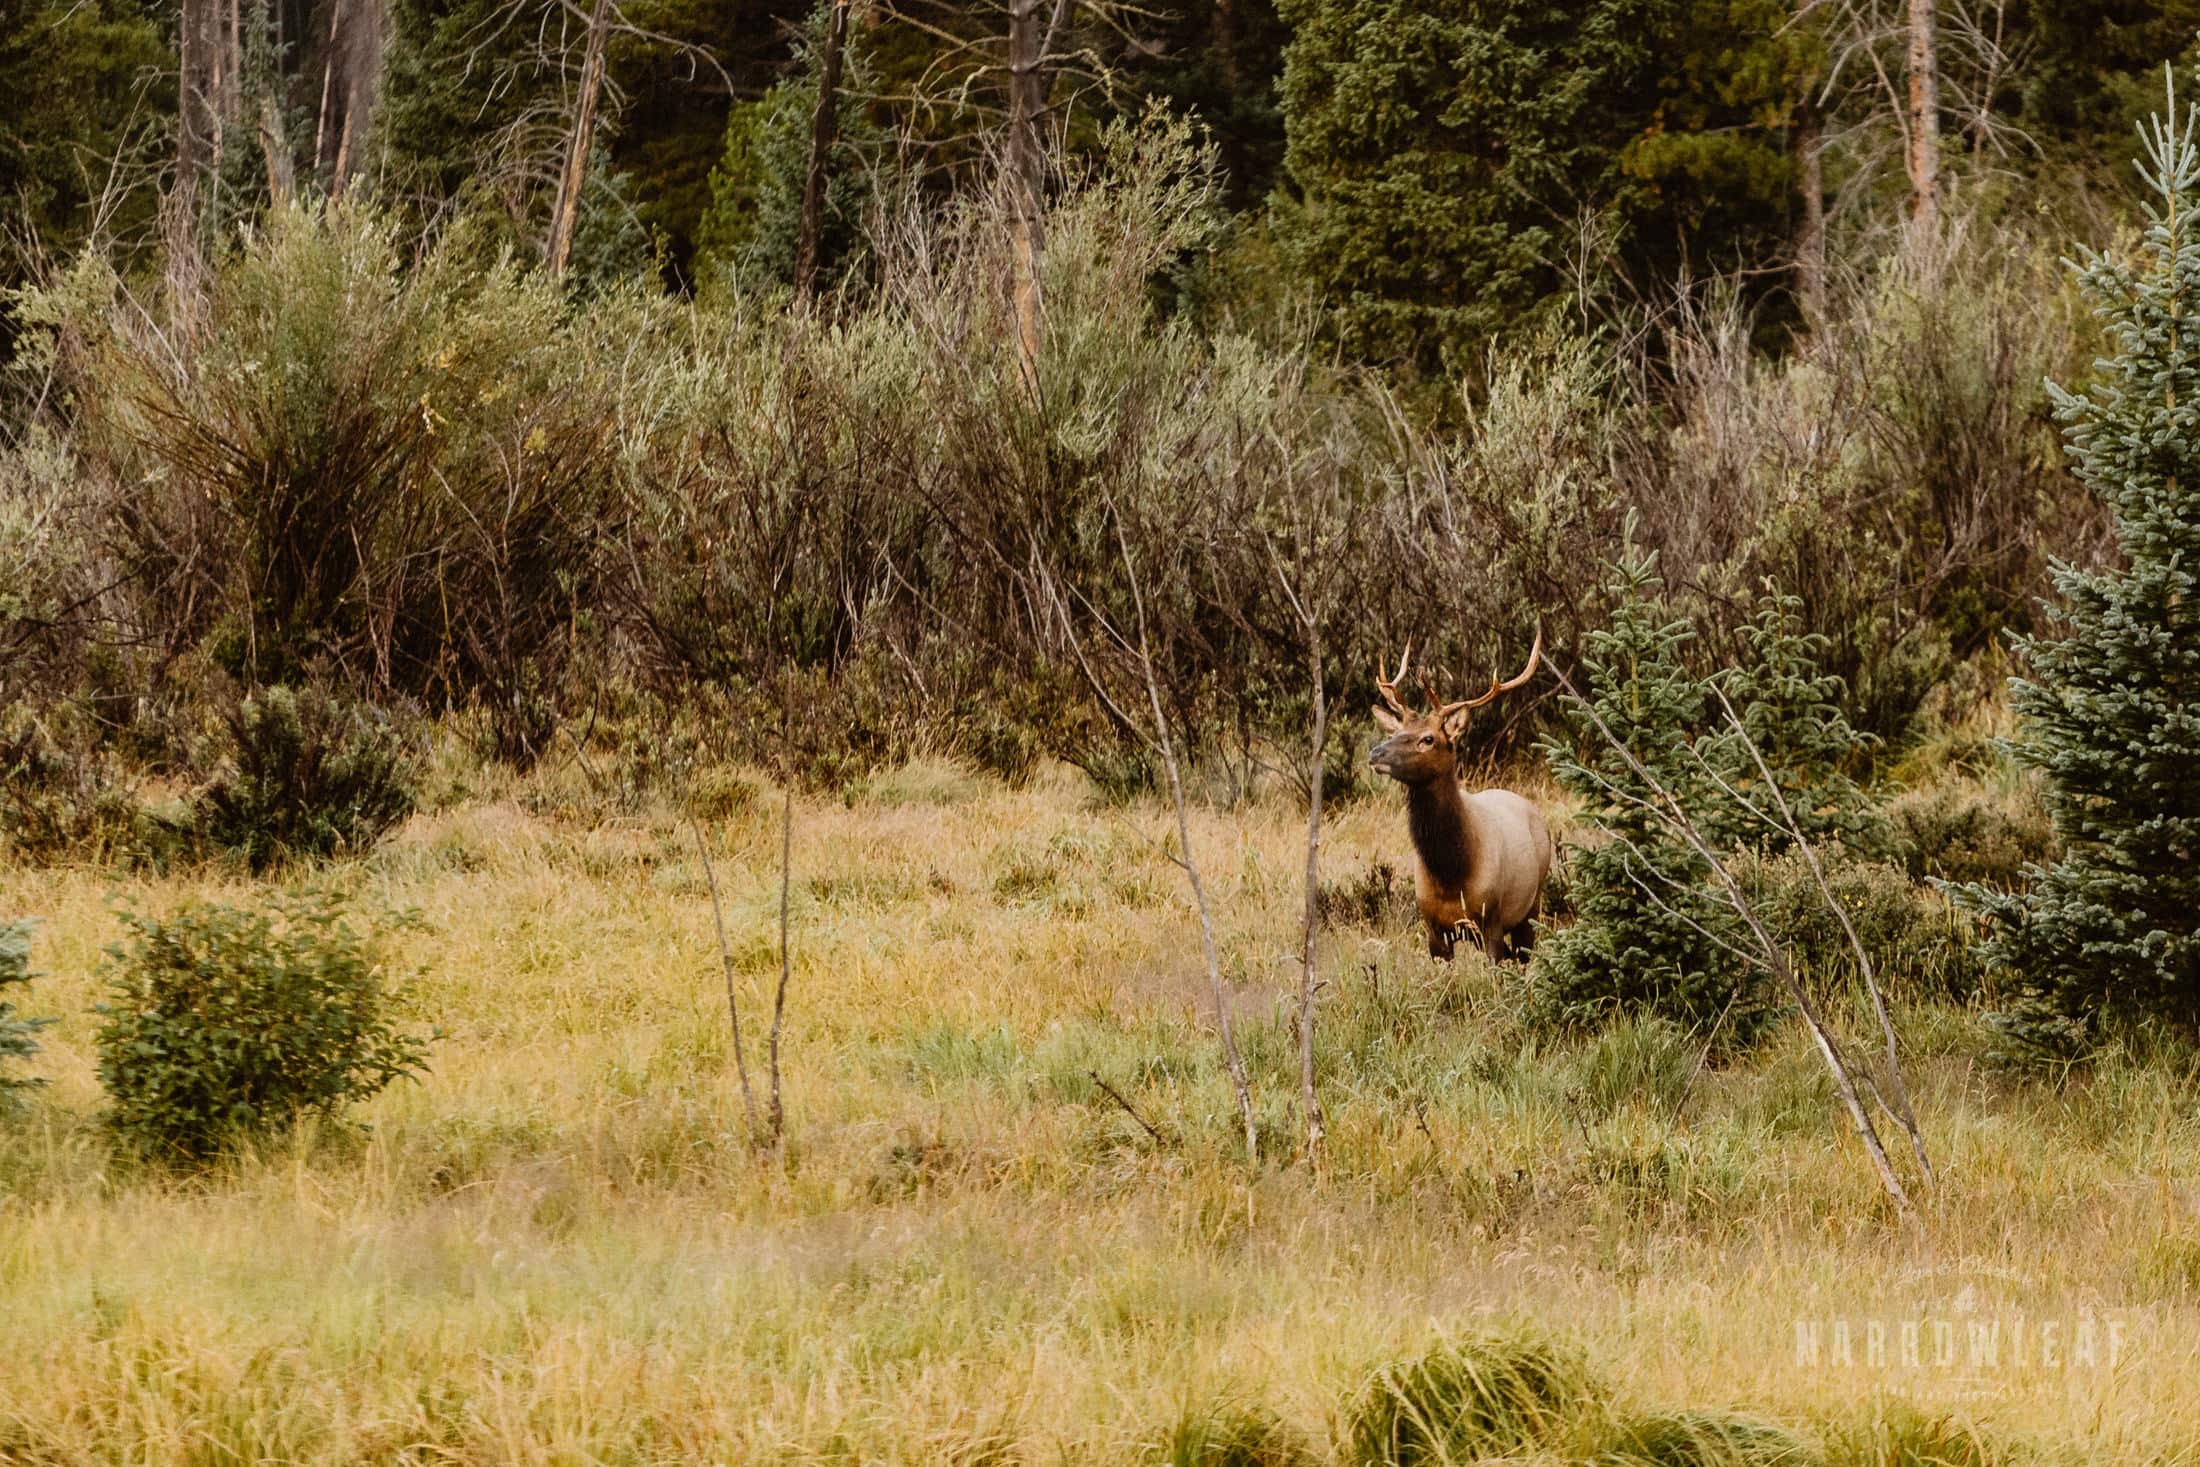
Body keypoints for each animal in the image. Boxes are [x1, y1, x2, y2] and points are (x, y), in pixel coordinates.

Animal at [1364, 633, 1557, 963]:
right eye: (1396, 731)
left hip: (1532, 903)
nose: (1376, 752)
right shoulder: (1433, 928)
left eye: (1428, 739)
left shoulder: (1492, 918)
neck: (1450, 875)